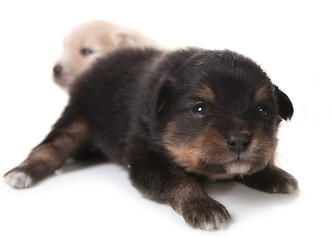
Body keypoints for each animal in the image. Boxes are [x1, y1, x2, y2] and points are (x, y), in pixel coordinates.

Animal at [3, 47, 298, 230]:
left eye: (263, 111)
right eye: (199, 109)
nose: (239, 140)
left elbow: (254, 165)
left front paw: (275, 175)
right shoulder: (145, 157)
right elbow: (179, 180)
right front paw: (203, 206)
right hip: (78, 119)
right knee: (51, 147)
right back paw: (22, 172)